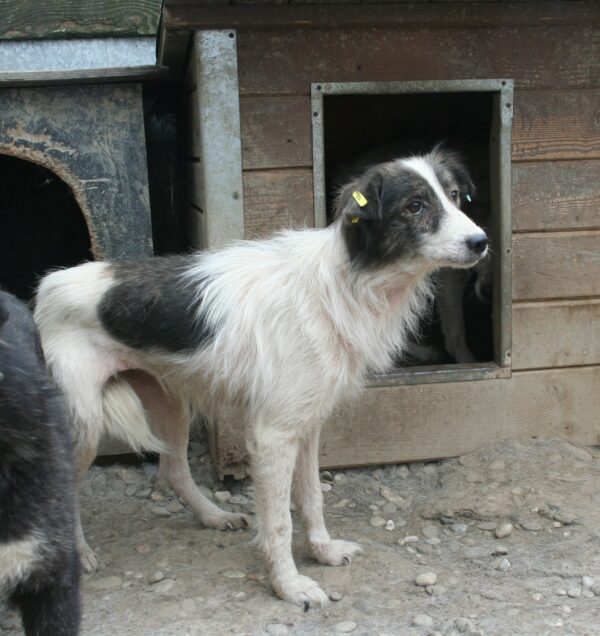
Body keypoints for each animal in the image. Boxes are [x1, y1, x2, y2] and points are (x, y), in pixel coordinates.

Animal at [34, 147, 488, 608]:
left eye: (454, 196)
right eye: (414, 206)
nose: (482, 241)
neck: (348, 281)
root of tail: (46, 284)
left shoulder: (307, 425)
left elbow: (312, 497)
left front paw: (323, 551)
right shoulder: (273, 435)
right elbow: (279, 522)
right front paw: (289, 586)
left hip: (172, 403)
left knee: (174, 470)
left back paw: (214, 516)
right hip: (84, 424)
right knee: (63, 489)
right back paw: (81, 553)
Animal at [324, 90, 496, 368]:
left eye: (455, 194)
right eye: (415, 206)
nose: (490, 292)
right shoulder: (448, 271)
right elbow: (455, 328)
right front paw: (467, 362)